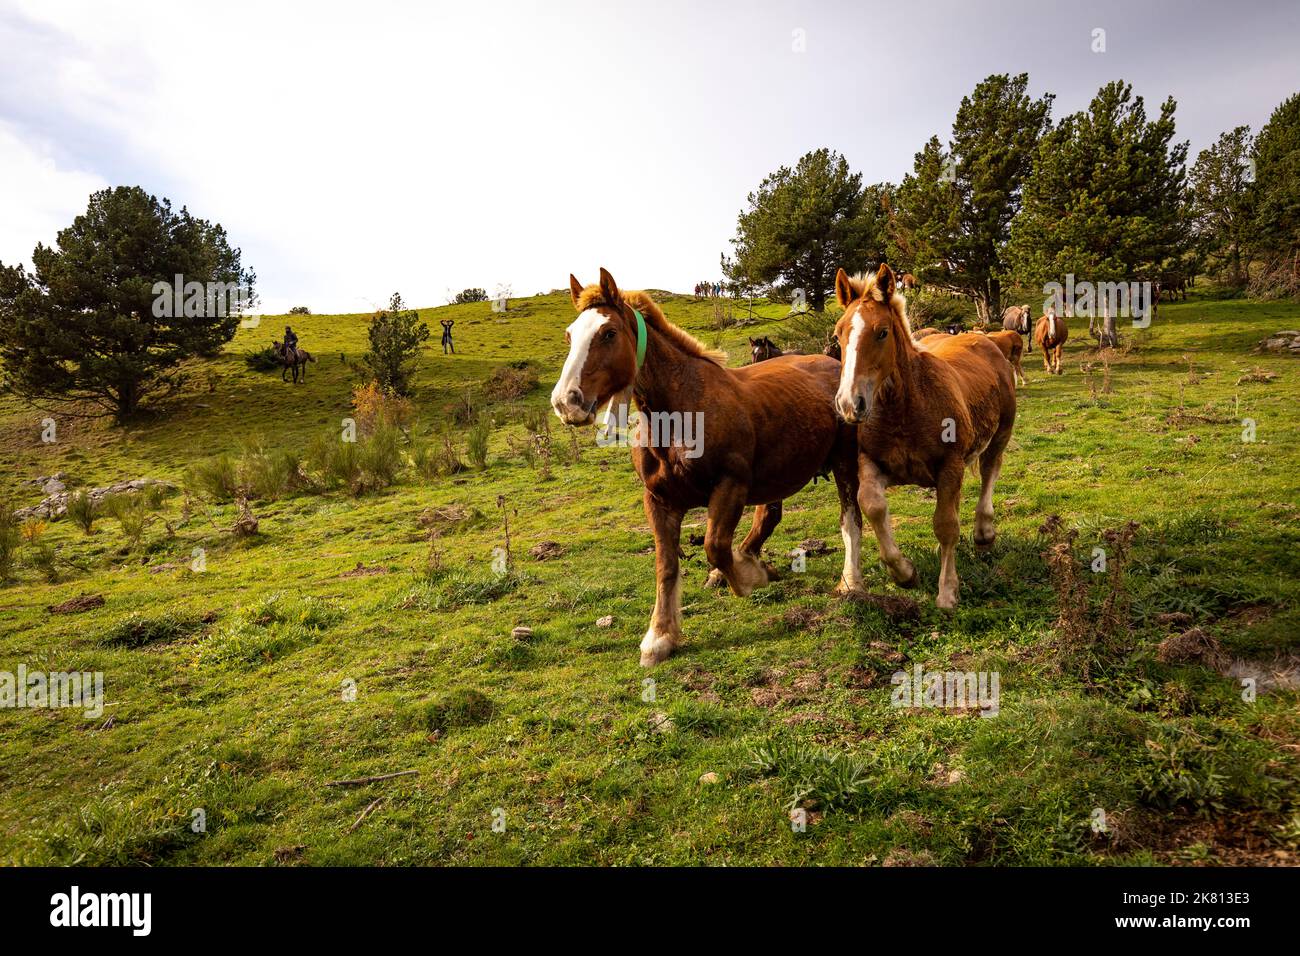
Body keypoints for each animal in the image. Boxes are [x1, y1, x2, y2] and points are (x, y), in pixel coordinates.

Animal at [552, 268, 862, 666]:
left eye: (608, 333)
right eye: (570, 335)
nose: (566, 402)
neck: (680, 413)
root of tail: (833, 363)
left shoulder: (730, 486)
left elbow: (715, 545)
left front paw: (750, 577)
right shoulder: (659, 500)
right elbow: (666, 565)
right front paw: (660, 637)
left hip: (844, 462)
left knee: (850, 518)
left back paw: (850, 580)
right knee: (768, 516)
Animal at [832, 264, 1016, 609]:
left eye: (882, 332)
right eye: (838, 334)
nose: (850, 403)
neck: (905, 408)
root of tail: (983, 338)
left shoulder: (950, 466)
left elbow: (946, 525)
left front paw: (947, 591)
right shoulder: (871, 464)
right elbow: (872, 507)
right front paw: (904, 572)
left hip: (1000, 435)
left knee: (990, 471)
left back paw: (984, 533)